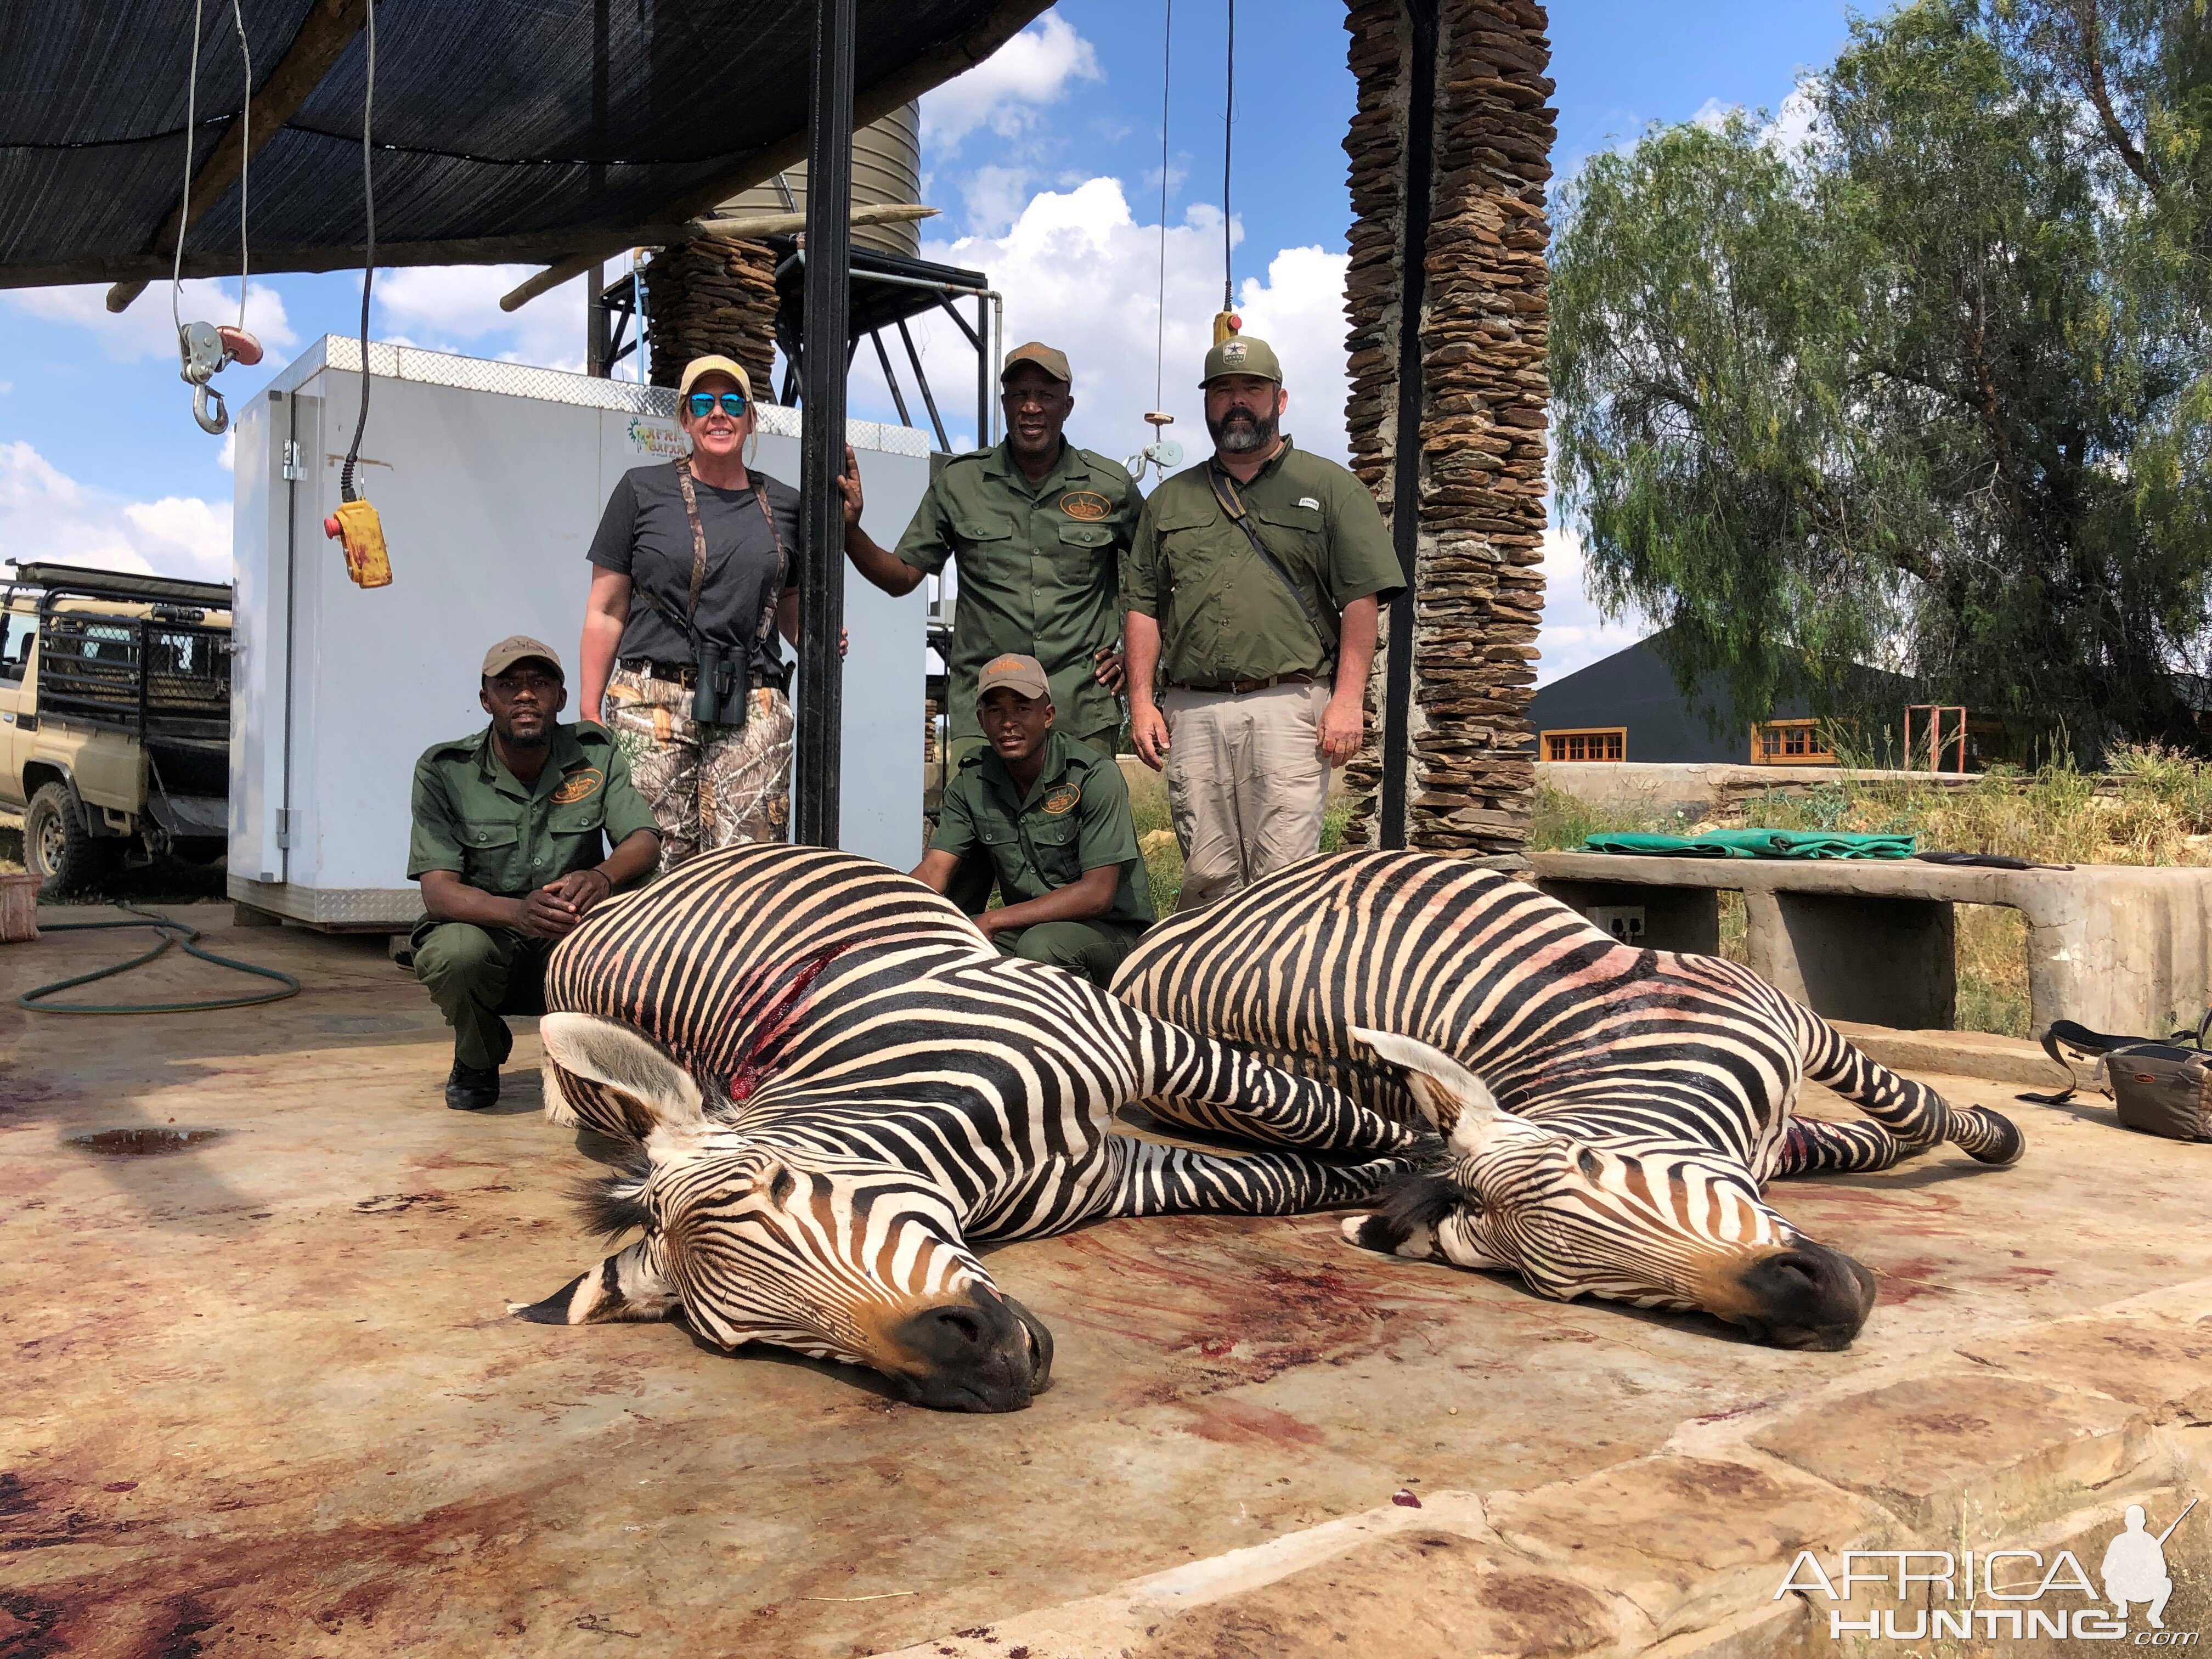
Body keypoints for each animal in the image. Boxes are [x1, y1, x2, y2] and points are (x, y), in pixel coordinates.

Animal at [509, 845, 1424, 1415]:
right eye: (761, 1341)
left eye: (781, 1184)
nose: (987, 1370)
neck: (982, 1155)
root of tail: (607, 910)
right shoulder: (1118, 1172)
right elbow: (1278, 1180)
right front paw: (1386, 1194)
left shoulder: (1143, 1040)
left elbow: (1321, 1117)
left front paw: (1427, 1169)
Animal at [1115, 858, 2026, 1353]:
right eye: (1574, 1291)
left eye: (1592, 1161)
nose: (1822, 1307)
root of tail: (1158, 942)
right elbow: (1873, 1130)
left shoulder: (1789, 1021)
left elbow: (1908, 1111)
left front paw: (1998, 1137)